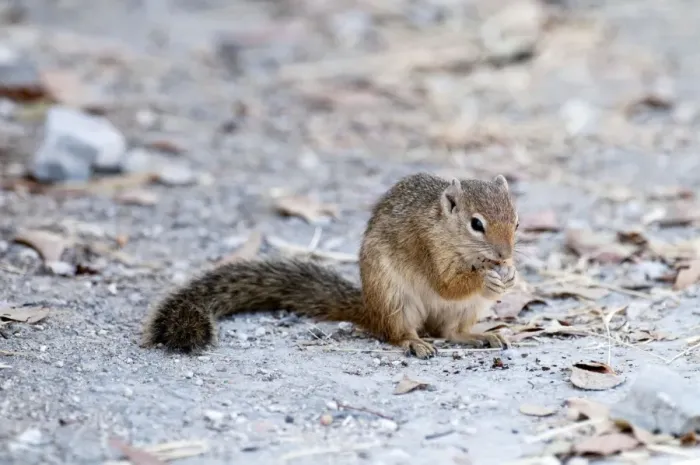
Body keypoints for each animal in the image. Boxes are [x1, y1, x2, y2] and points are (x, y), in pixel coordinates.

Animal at [141, 172, 520, 359]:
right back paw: (415, 344)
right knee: (399, 333)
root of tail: (369, 309)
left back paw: (481, 335)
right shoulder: (425, 246)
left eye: (516, 221)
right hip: (394, 299)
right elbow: (447, 284)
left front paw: (513, 275)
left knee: (449, 331)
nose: (504, 255)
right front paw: (488, 279)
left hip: (464, 310)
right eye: (476, 224)